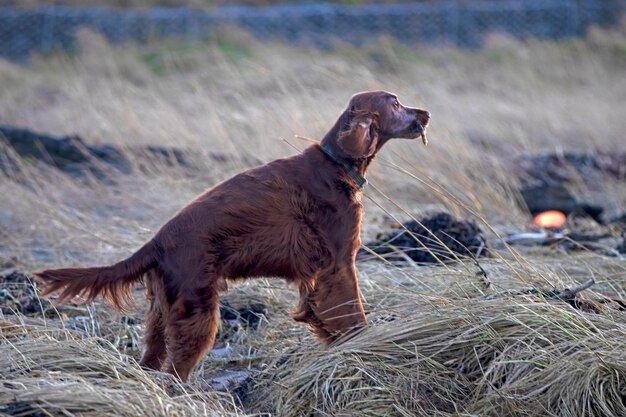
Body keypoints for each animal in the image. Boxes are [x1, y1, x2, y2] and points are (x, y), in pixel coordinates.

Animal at [34, 90, 428, 380]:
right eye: (395, 103)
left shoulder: (317, 278)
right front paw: (365, 344)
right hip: (198, 312)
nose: (426, 114)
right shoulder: (338, 265)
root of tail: (157, 242)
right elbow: (352, 314)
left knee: (152, 361)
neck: (337, 163)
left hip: (163, 315)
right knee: (176, 372)